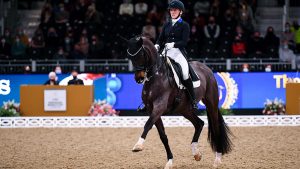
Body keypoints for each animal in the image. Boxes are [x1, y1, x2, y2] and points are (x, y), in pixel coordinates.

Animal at [126, 36, 232, 168]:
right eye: (130, 57)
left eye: (141, 54)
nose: (139, 78)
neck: (156, 76)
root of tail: (206, 68)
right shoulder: (152, 109)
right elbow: (163, 136)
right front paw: (169, 161)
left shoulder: (159, 107)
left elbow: (148, 124)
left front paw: (138, 145)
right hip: (184, 109)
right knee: (199, 123)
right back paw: (196, 153)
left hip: (211, 103)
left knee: (215, 126)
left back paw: (217, 159)